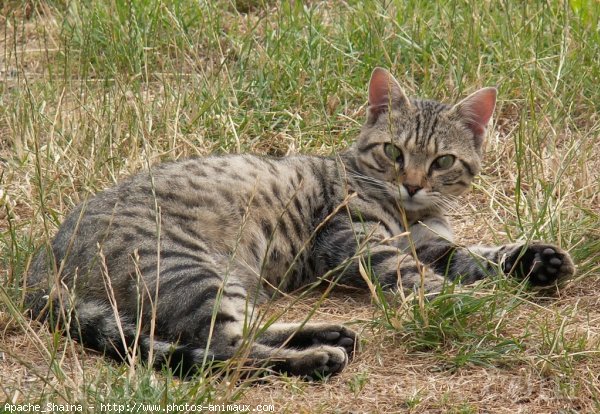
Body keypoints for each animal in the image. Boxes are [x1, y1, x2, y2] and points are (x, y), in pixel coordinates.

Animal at [24, 68, 576, 378]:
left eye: (442, 162)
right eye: (394, 152)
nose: (413, 184)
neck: (412, 214)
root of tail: (41, 259)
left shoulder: (428, 240)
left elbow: (476, 253)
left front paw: (534, 259)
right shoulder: (353, 242)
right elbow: (415, 273)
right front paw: (459, 299)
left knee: (243, 330)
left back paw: (330, 334)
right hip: (188, 270)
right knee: (224, 349)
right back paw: (316, 358)